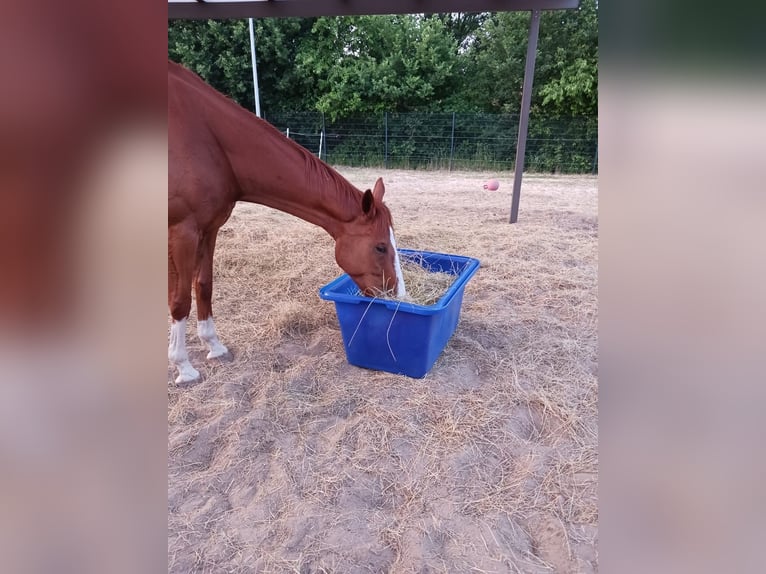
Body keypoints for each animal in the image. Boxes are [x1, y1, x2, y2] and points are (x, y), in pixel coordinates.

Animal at [168, 60, 408, 384]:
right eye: (381, 247)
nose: (399, 297)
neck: (206, 136)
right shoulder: (183, 231)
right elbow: (180, 300)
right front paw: (184, 366)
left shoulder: (209, 228)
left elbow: (203, 285)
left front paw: (215, 347)